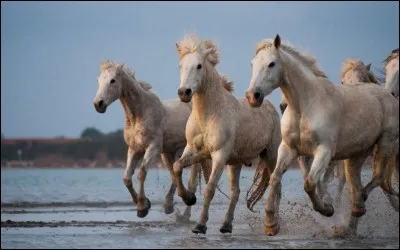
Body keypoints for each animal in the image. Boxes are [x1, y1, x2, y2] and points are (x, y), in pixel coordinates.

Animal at [245, 35, 398, 236]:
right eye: (252, 63)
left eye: (271, 63)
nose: (252, 96)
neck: (305, 107)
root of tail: (388, 94)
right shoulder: (289, 148)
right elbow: (275, 178)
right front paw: (271, 225)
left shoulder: (324, 151)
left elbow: (310, 183)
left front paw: (327, 209)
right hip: (358, 153)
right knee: (355, 184)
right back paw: (354, 215)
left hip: (385, 143)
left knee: (378, 178)